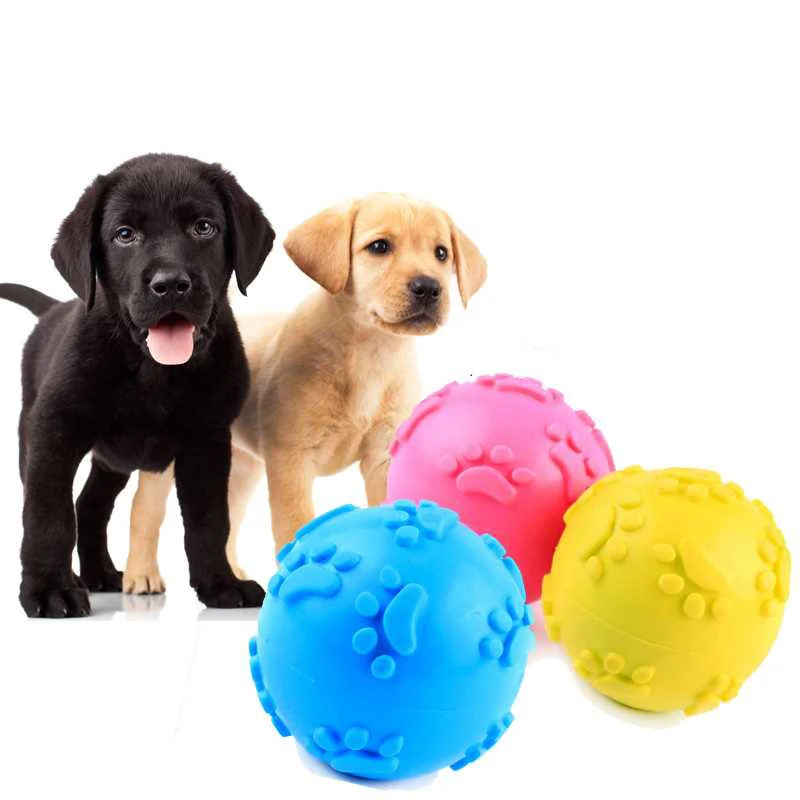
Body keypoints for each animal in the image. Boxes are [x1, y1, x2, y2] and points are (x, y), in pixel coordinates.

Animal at [0, 153, 274, 617]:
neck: (153, 372)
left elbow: (209, 521)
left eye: (204, 227)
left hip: (114, 462)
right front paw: (49, 589)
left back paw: (101, 573)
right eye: (124, 235)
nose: (170, 285)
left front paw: (220, 583)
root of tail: (53, 309)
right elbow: (47, 516)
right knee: (64, 506)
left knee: (89, 505)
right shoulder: (53, 436)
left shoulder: (207, 443)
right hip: (36, 440)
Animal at [127, 193, 486, 585]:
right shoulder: (292, 460)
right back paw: (141, 575)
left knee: (230, 518)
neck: (370, 352)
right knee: (144, 511)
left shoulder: (382, 459)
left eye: (441, 253)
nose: (429, 288)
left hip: (243, 468)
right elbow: (294, 525)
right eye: (379, 246)